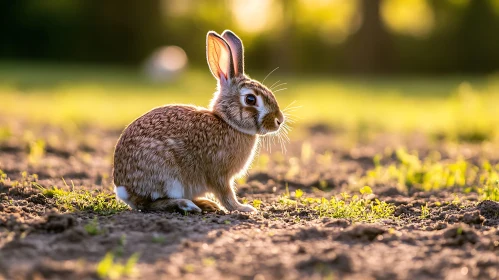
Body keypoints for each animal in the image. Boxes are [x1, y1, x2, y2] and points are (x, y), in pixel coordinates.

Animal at [113, 30, 286, 212]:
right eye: (250, 99)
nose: (279, 120)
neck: (228, 123)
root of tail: (123, 188)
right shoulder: (219, 175)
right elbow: (226, 195)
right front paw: (244, 208)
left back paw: (205, 204)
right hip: (167, 176)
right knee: (148, 203)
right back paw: (186, 204)